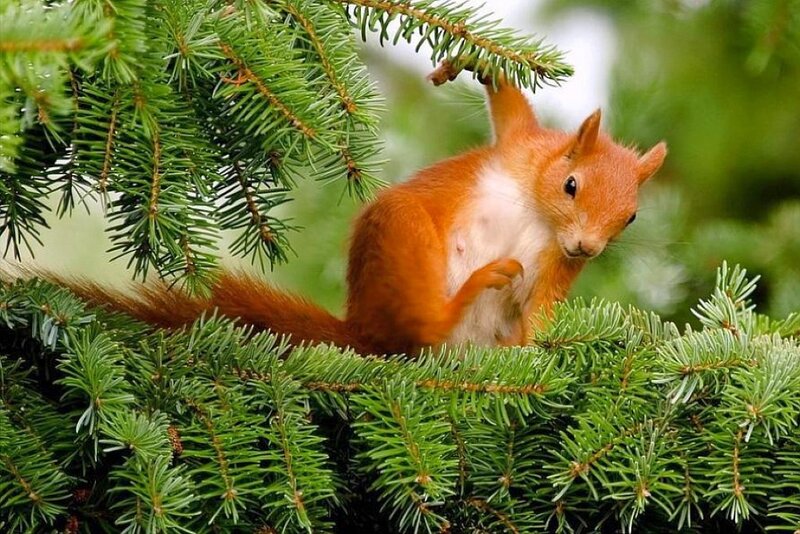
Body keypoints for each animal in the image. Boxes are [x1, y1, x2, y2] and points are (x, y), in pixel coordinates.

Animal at [38, 78, 667, 356]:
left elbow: (542, 317)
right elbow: (510, 105)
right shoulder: (519, 145)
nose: (587, 249)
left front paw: (546, 353)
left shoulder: (554, 270)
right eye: (570, 184)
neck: (538, 214)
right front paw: (474, 65)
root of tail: (360, 333)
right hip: (404, 233)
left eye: (631, 219)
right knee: (420, 325)